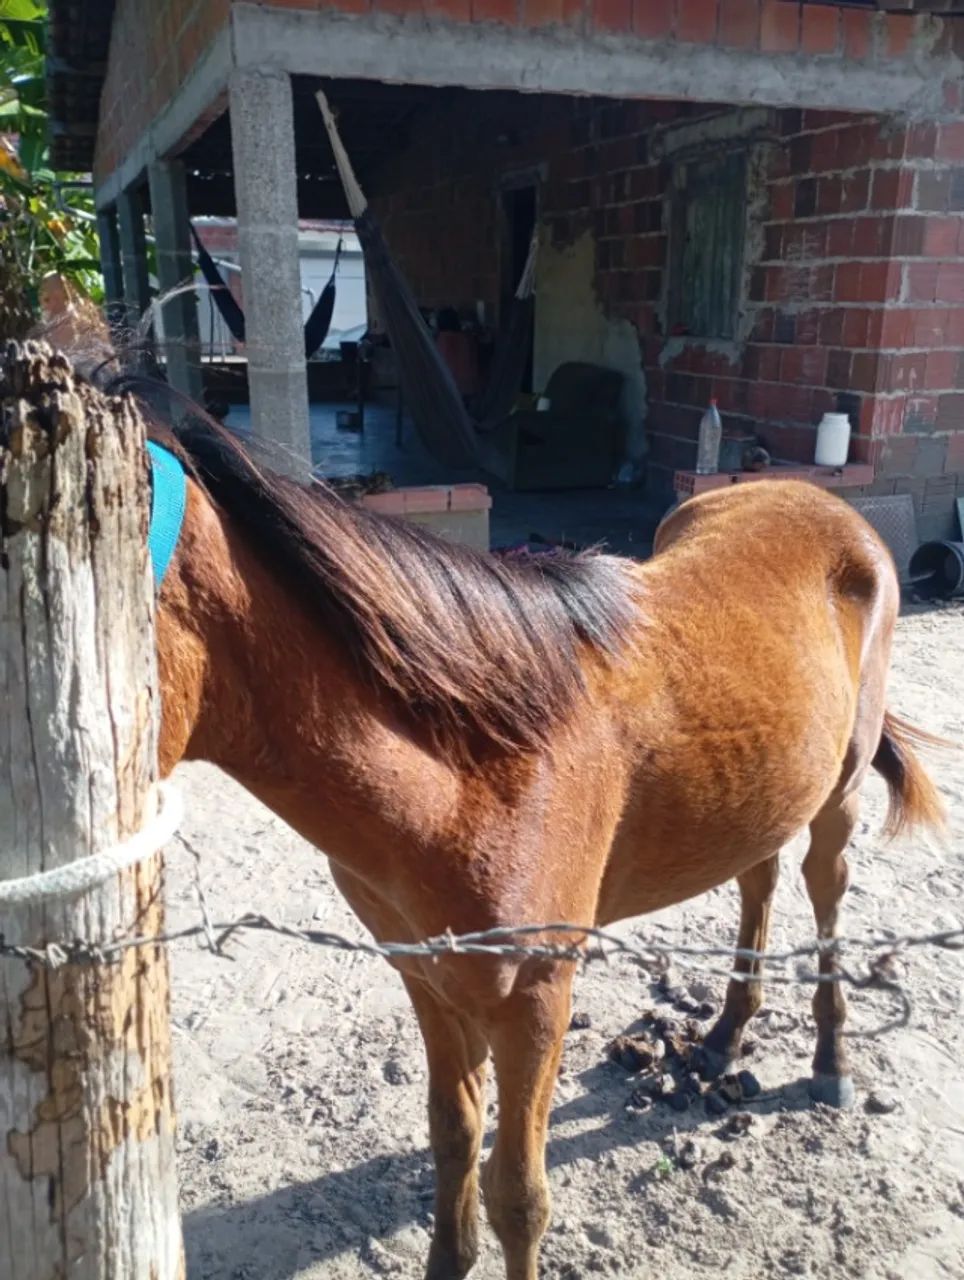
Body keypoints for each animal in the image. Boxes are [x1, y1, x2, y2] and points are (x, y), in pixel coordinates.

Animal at [136, 392, 943, 1280]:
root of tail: (828, 507)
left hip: (839, 794)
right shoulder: (427, 981)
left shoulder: (536, 1003)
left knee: (825, 891)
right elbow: (452, 1135)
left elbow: (519, 1197)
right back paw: (726, 1035)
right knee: (756, 881)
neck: (477, 769)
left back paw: (831, 1063)